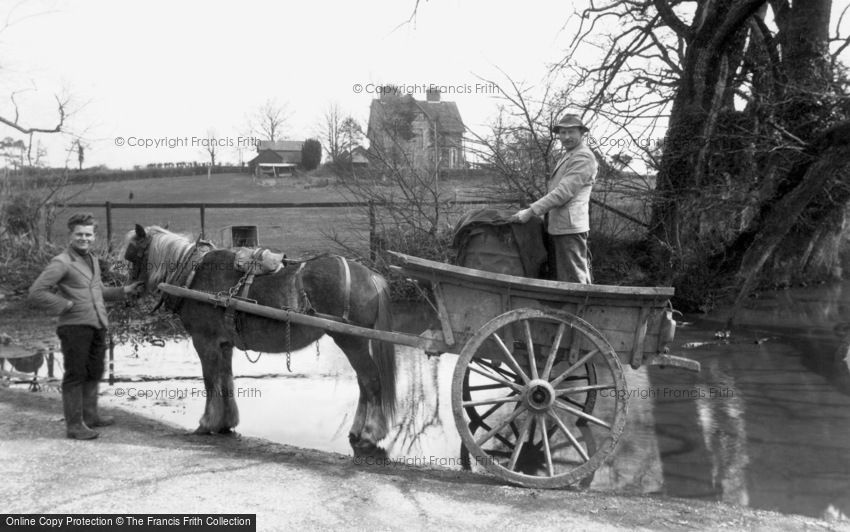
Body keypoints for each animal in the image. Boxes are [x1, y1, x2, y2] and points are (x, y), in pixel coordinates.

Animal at [123, 224, 398, 458]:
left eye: (132, 257)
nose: (128, 292)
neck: (192, 273)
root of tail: (371, 276)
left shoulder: (204, 341)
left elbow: (210, 382)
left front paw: (207, 422)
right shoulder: (224, 344)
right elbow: (226, 380)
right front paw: (226, 422)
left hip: (351, 340)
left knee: (371, 380)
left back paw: (370, 433)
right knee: (364, 382)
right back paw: (359, 429)